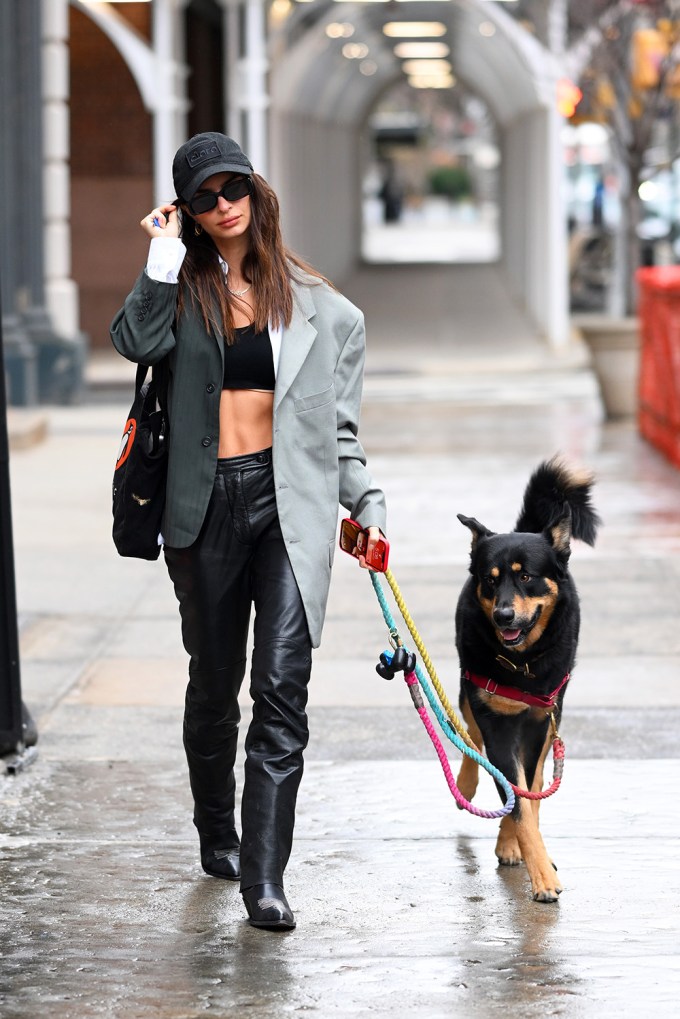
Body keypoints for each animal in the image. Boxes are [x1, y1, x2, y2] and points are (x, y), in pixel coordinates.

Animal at [454, 454, 599, 900]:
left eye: (526, 576)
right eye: (490, 579)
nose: (503, 616)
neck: (523, 662)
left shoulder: (539, 720)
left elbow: (526, 794)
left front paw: (532, 858)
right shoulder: (494, 716)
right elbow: (513, 794)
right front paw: (541, 874)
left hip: (553, 717)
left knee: (532, 779)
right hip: (470, 691)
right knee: (471, 735)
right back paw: (468, 786)